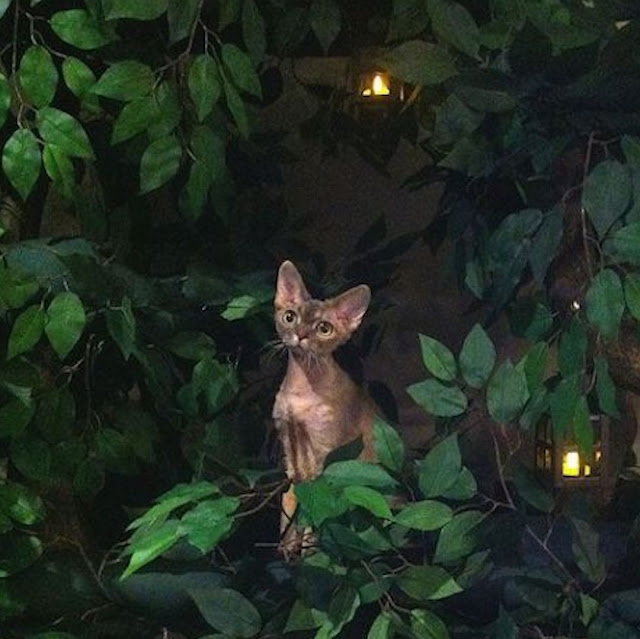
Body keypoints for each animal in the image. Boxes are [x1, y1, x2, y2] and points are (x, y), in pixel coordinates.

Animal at [272, 260, 378, 556]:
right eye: (290, 317)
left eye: (324, 328)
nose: (301, 335)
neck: (301, 389)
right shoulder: (291, 452)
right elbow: (289, 505)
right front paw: (285, 549)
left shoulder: (325, 455)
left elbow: (316, 513)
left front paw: (310, 554)